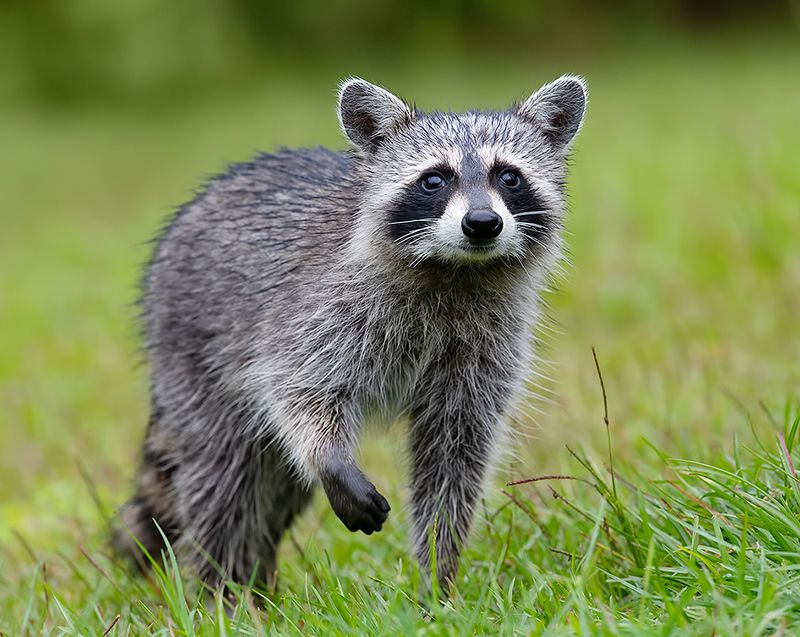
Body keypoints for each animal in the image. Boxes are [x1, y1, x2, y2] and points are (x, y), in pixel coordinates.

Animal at [114, 75, 587, 593]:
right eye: (434, 179)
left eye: (509, 177)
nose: (482, 223)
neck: (457, 271)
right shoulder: (319, 311)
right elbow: (299, 391)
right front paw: (330, 459)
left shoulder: (485, 347)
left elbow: (454, 457)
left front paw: (438, 577)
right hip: (193, 350)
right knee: (222, 476)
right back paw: (221, 586)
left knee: (275, 487)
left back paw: (255, 584)